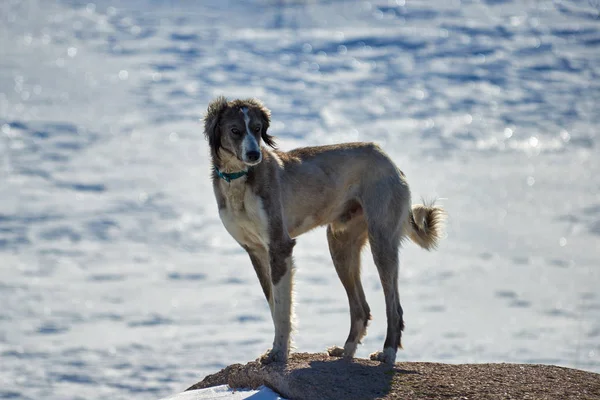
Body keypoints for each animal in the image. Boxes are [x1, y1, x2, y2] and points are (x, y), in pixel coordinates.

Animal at [204, 97, 442, 366]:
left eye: (256, 128)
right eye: (235, 130)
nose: (254, 155)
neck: (239, 181)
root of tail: (386, 158)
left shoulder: (280, 246)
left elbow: (283, 310)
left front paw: (279, 352)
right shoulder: (255, 251)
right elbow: (274, 305)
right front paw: (277, 350)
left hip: (382, 242)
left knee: (394, 307)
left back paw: (387, 352)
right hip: (340, 244)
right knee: (361, 308)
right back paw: (346, 351)